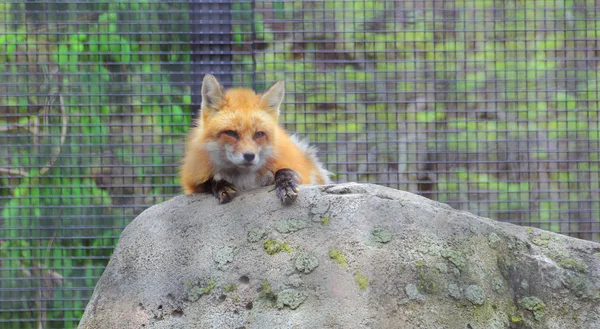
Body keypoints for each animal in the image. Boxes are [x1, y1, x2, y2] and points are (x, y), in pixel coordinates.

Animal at [180, 73, 330, 204]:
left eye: (259, 134)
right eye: (231, 133)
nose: (249, 156)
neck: (244, 179)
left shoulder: (300, 172)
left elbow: (285, 172)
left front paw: (285, 186)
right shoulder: (193, 183)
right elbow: (212, 180)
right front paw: (222, 186)